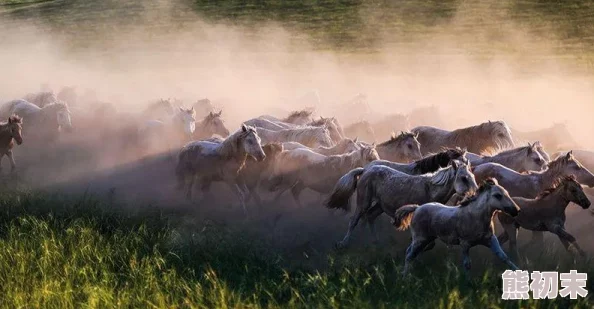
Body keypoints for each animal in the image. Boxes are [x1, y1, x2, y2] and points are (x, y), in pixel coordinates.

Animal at [326, 159, 474, 248]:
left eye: (472, 176)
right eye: (463, 178)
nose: (473, 195)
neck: (430, 189)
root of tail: (365, 170)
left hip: (380, 205)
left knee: (370, 216)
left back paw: (376, 242)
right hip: (364, 202)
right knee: (354, 220)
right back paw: (343, 244)